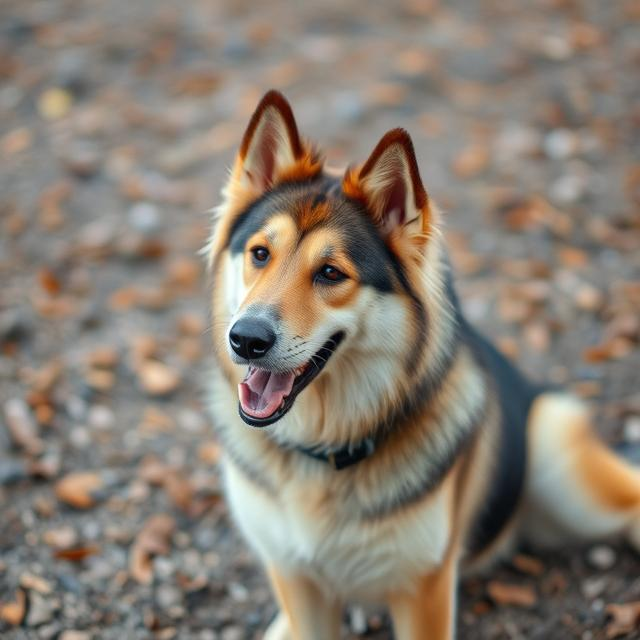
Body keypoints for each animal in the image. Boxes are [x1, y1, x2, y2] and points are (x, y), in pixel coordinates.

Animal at [206, 91, 640, 640]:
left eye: (331, 273)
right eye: (260, 254)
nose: (246, 339)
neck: (327, 451)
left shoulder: (424, 587)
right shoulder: (295, 577)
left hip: (561, 461)